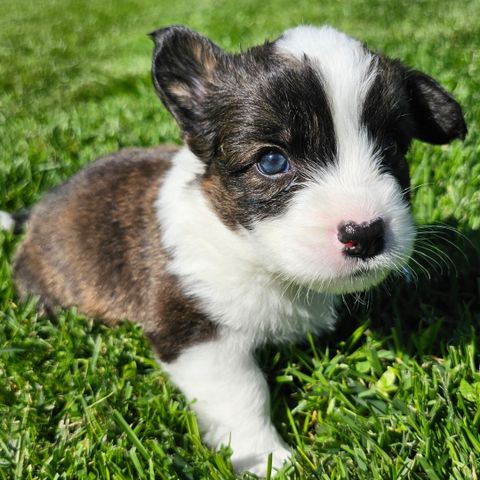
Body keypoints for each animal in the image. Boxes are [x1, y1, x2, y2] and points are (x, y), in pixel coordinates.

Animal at [0, 24, 464, 474]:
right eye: (272, 161)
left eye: (392, 149)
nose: (365, 234)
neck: (256, 258)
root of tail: (37, 213)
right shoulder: (197, 336)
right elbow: (244, 394)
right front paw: (269, 459)